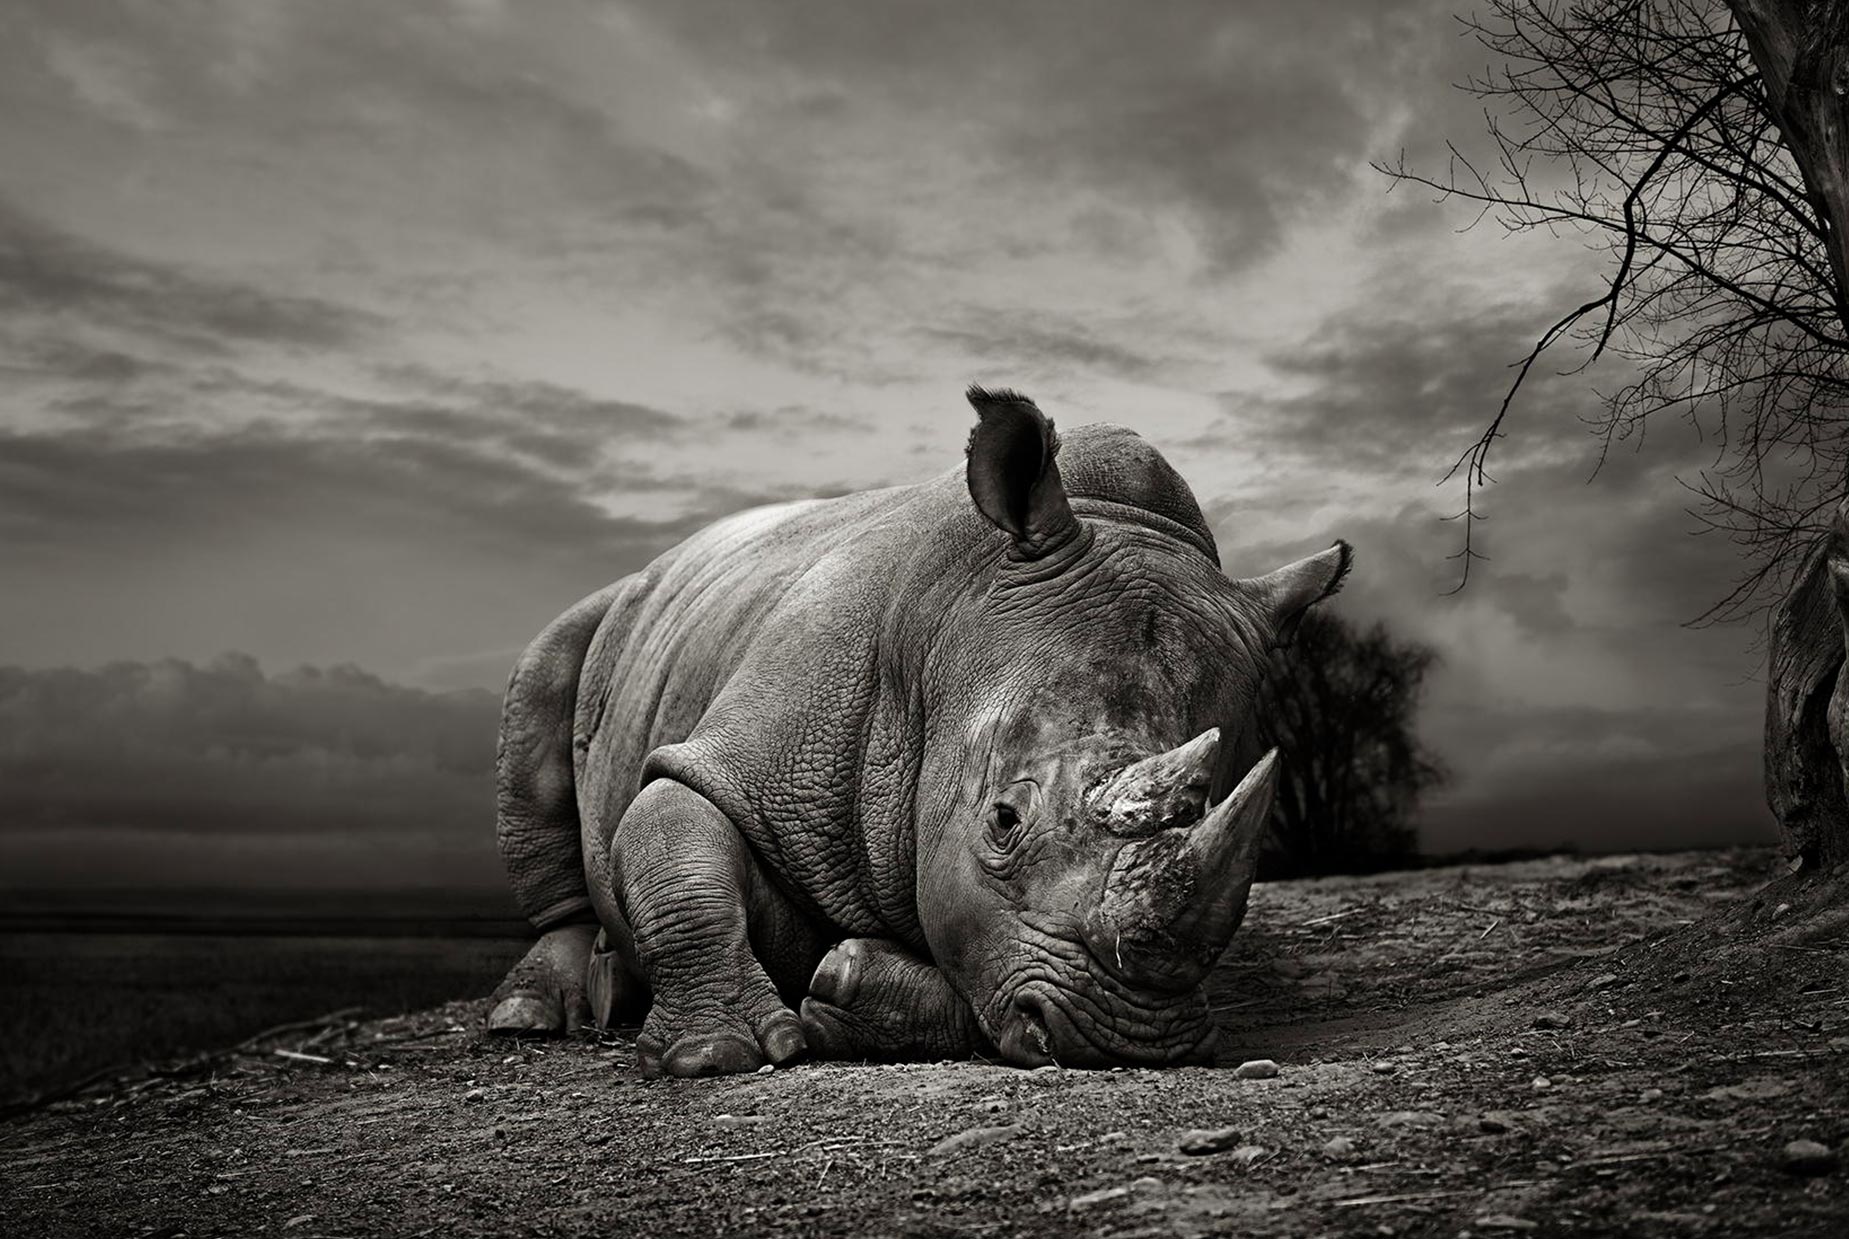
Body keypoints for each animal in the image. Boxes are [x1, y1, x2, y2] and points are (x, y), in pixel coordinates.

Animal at [486, 388, 1350, 1076]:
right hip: (607, 615)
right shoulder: (737, 755)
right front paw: (713, 1056)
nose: (1129, 1041)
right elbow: (680, 843)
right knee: (543, 675)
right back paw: (541, 1012)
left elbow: (968, 955)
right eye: (1002, 820)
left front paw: (844, 985)